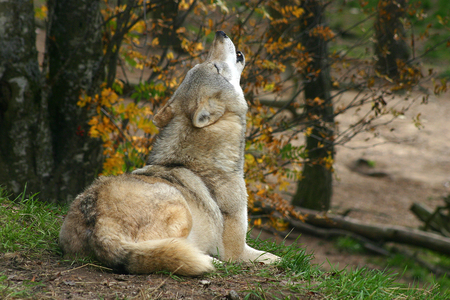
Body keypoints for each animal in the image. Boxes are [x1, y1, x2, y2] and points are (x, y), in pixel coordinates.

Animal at [58, 31, 280, 276]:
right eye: (215, 67)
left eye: (204, 63)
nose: (220, 34)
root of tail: (99, 228)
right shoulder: (237, 250)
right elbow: (271, 257)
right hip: (180, 208)